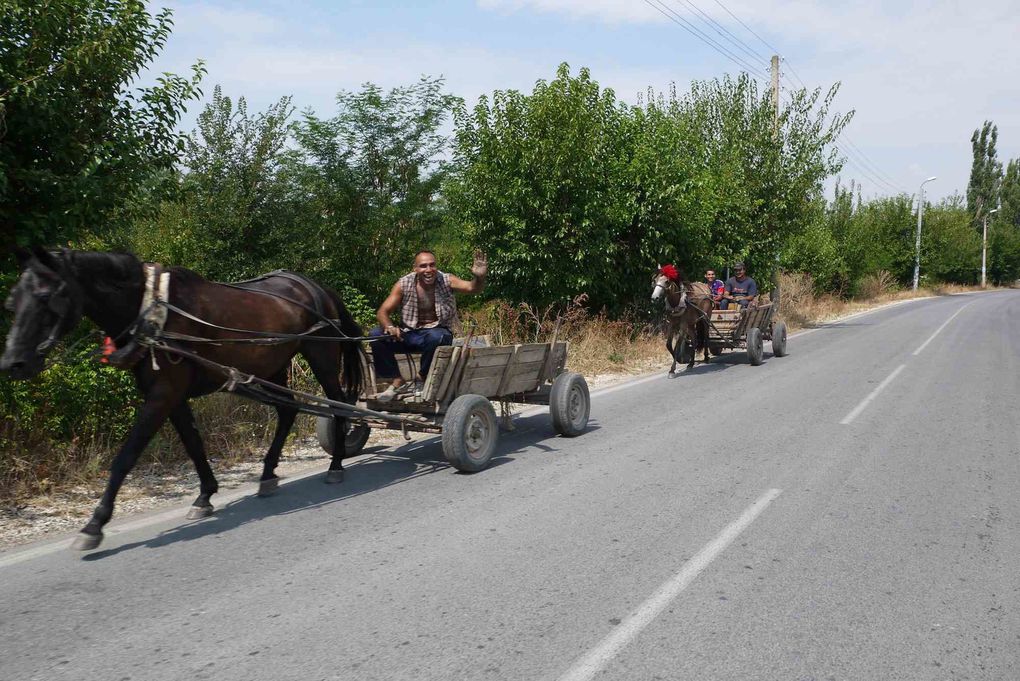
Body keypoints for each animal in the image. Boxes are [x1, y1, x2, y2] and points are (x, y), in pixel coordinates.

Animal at [0, 247, 363, 550]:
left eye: (47, 296)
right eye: (13, 301)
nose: (13, 363)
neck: (150, 311)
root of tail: (316, 287)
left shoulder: (164, 394)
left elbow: (126, 456)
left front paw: (95, 522)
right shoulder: (172, 396)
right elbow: (193, 443)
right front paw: (204, 495)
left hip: (321, 355)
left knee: (339, 405)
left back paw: (335, 465)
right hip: (273, 366)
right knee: (287, 413)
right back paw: (268, 474)